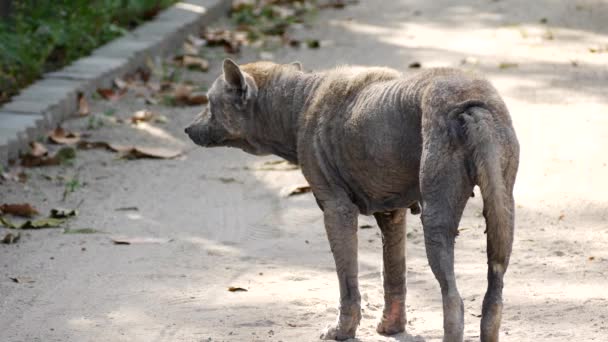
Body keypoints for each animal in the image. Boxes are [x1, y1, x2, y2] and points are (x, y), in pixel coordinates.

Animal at [184, 59, 516, 342]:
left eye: (210, 103)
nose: (187, 129)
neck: (298, 102)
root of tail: (471, 104)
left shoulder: (336, 210)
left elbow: (348, 282)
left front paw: (342, 331)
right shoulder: (392, 213)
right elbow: (393, 274)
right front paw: (391, 327)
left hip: (436, 222)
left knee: (454, 299)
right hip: (503, 215)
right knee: (494, 296)